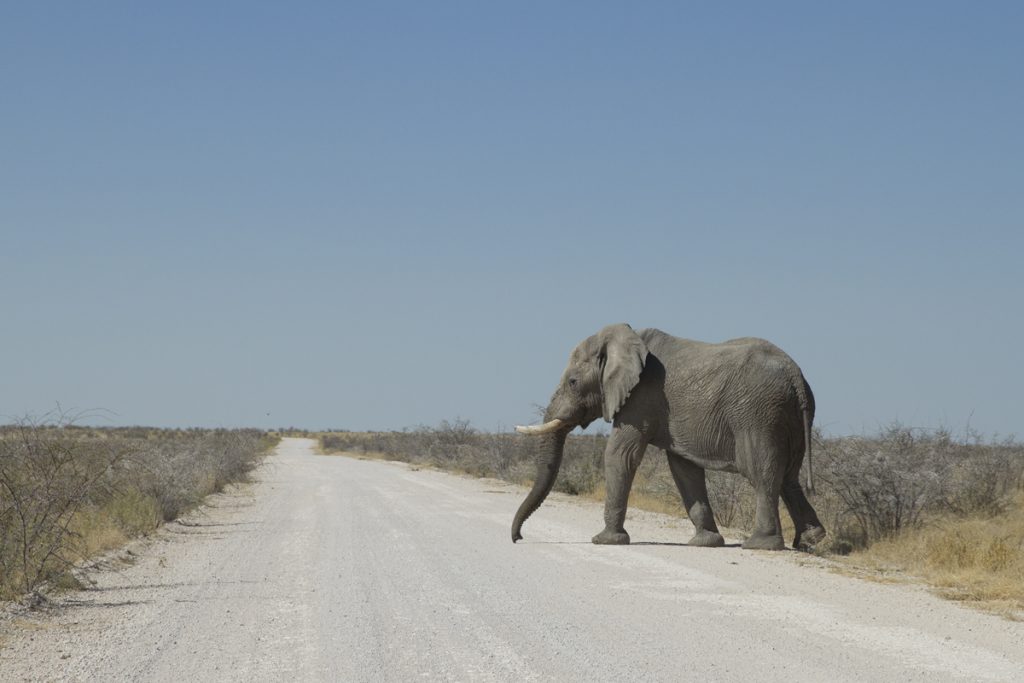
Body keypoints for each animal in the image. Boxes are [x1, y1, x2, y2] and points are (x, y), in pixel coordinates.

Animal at [509, 323, 823, 552]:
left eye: (573, 382)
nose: (518, 539)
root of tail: (796, 376)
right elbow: (683, 468)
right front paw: (705, 543)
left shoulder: (641, 398)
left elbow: (620, 455)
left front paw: (605, 541)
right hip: (788, 416)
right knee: (789, 477)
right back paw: (810, 541)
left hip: (757, 413)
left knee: (761, 472)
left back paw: (760, 545)